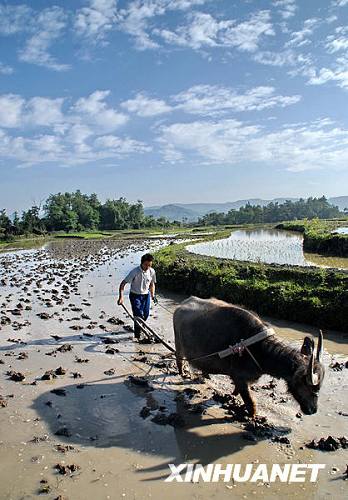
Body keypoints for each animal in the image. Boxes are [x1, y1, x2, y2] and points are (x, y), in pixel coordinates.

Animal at [173, 296, 324, 418]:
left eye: (319, 388)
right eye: (308, 386)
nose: (313, 410)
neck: (258, 349)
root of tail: (181, 305)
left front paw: (233, 395)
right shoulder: (240, 378)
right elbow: (250, 402)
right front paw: (253, 417)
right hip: (179, 345)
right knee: (179, 358)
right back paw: (183, 373)